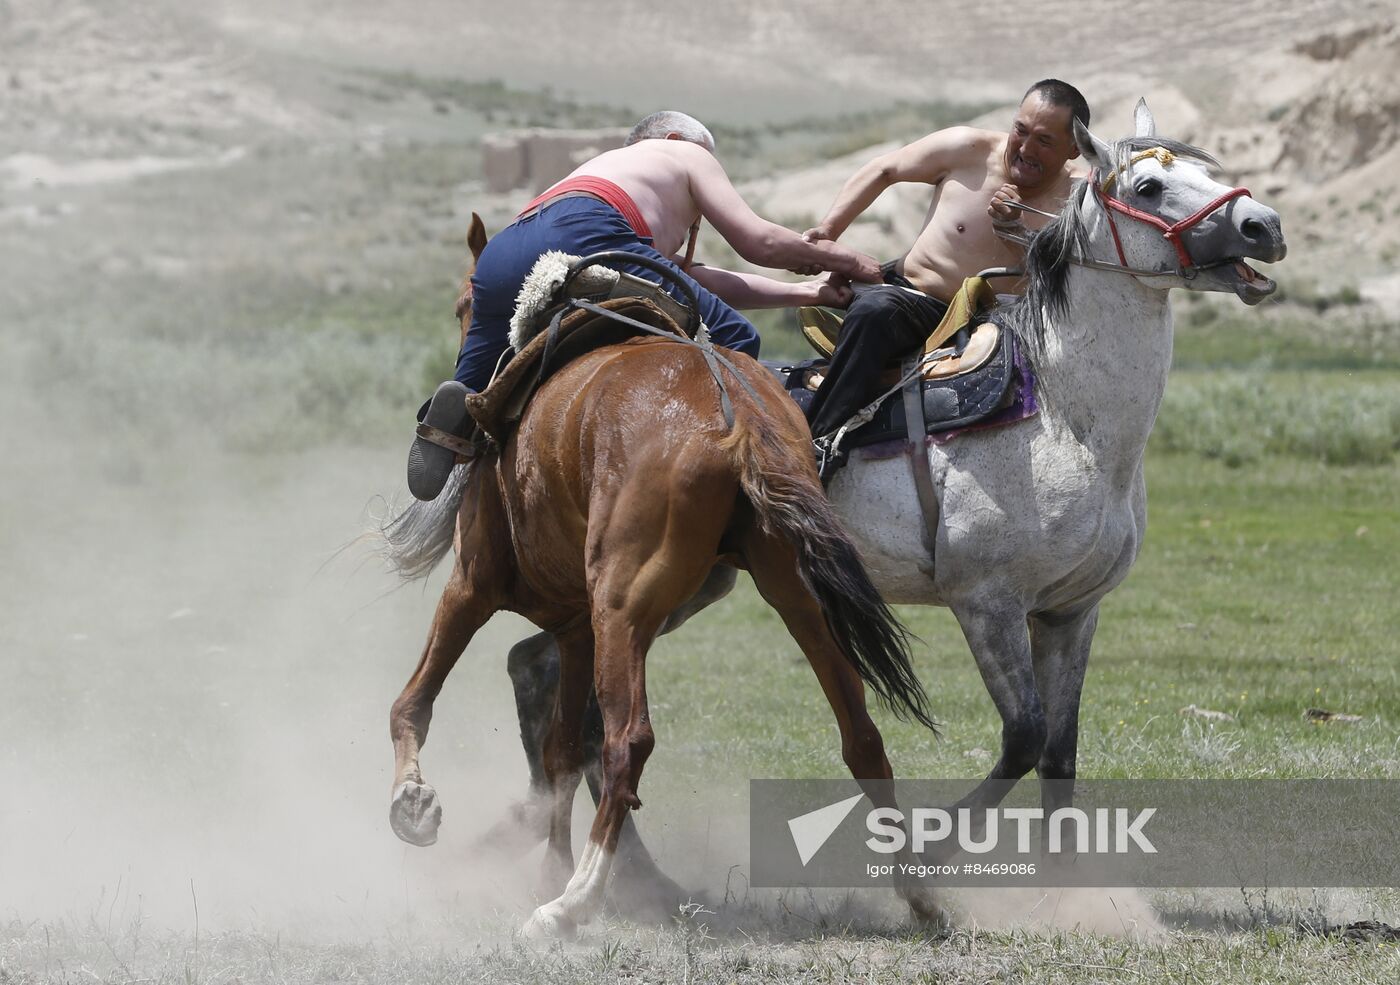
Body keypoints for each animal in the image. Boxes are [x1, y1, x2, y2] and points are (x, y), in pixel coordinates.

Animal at [380, 242, 940, 934]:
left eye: (465, 305)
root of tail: (738, 420)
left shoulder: (472, 587)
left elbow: (415, 703)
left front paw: (413, 803)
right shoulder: (575, 628)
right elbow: (562, 753)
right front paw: (544, 865)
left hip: (622, 608)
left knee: (629, 742)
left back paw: (572, 904)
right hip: (795, 597)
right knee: (860, 733)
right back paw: (920, 893)